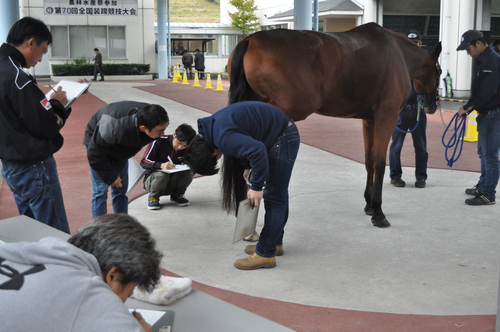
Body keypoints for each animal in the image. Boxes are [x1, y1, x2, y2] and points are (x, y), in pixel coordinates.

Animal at [228, 22, 442, 227]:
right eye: (439, 72)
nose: (432, 106)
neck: (399, 54)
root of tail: (249, 40)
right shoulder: (386, 118)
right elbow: (380, 163)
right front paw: (378, 212)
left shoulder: (370, 120)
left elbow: (369, 160)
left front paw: (369, 205)